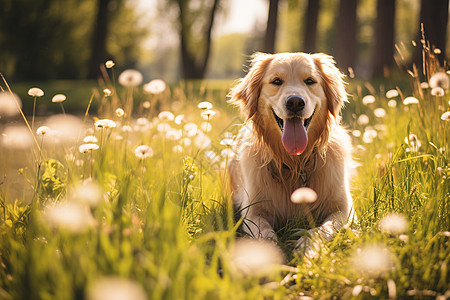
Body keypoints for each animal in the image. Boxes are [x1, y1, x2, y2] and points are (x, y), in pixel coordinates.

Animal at [229, 52, 356, 258]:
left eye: (310, 81)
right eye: (276, 81)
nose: (295, 102)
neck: (295, 163)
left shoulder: (344, 209)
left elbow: (324, 228)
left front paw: (307, 246)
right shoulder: (252, 211)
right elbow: (264, 232)